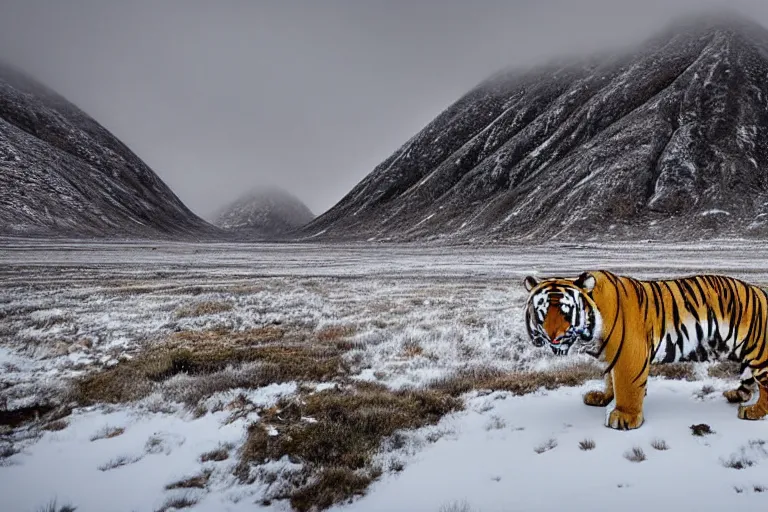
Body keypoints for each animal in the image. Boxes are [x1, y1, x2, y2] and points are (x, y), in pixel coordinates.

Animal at [520, 270, 768, 430]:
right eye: (542, 311)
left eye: (565, 311)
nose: (553, 337)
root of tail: (762, 291)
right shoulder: (609, 355)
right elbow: (610, 380)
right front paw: (602, 398)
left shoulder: (629, 354)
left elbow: (626, 386)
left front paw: (624, 417)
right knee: (748, 379)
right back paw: (737, 395)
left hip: (759, 351)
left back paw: (753, 412)